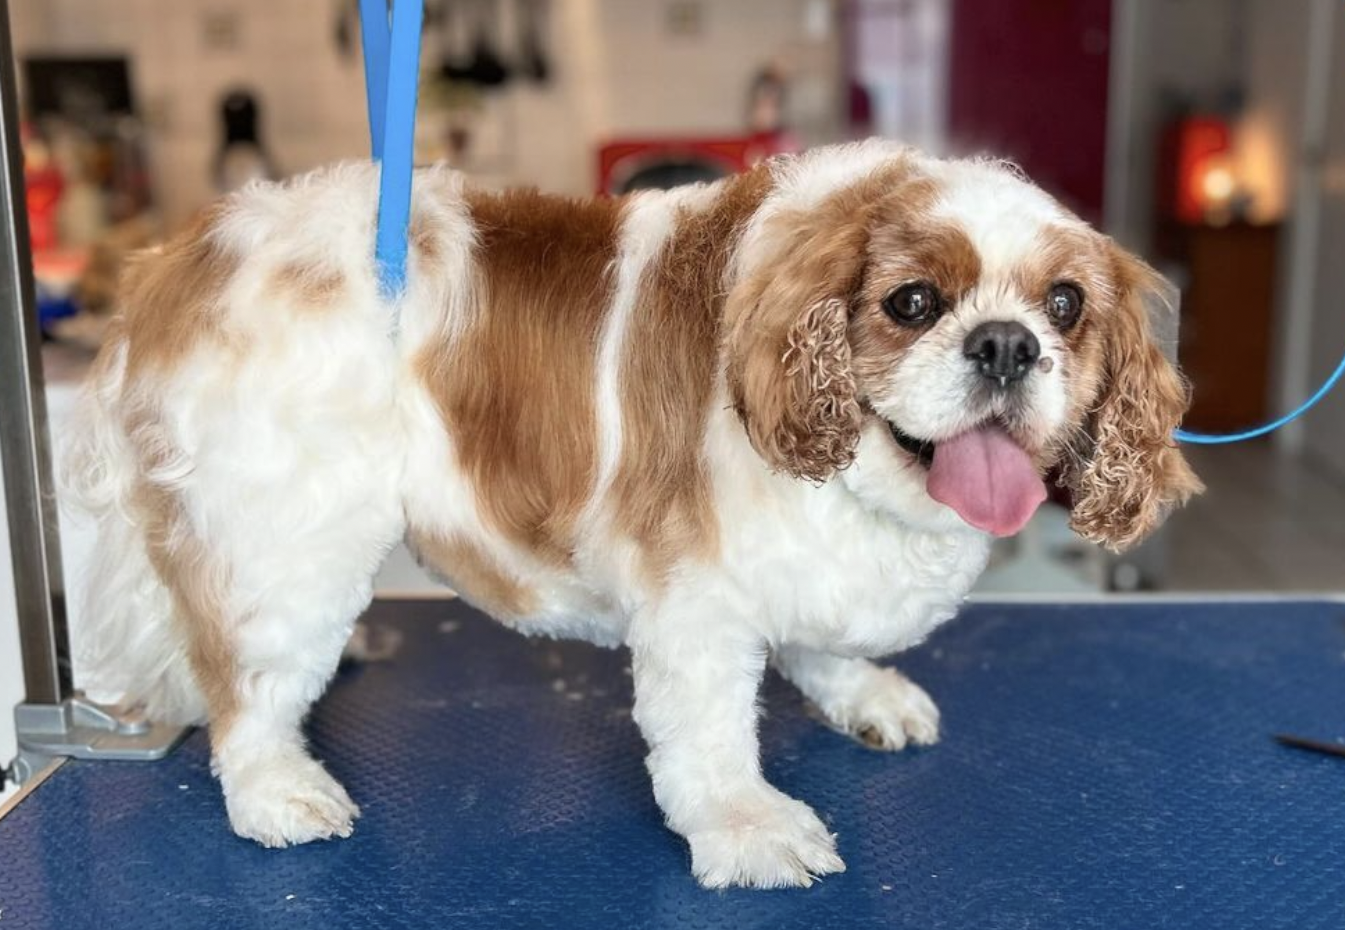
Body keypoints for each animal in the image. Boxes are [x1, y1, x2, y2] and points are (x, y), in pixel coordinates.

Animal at [63, 137, 1205, 888]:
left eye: (1064, 305)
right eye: (911, 302)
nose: (1006, 344)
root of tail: (183, 255)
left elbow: (822, 640)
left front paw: (861, 693)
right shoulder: (693, 594)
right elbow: (707, 734)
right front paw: (746, 829)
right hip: (287, 540)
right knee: (247, 688)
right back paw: (277, 790)